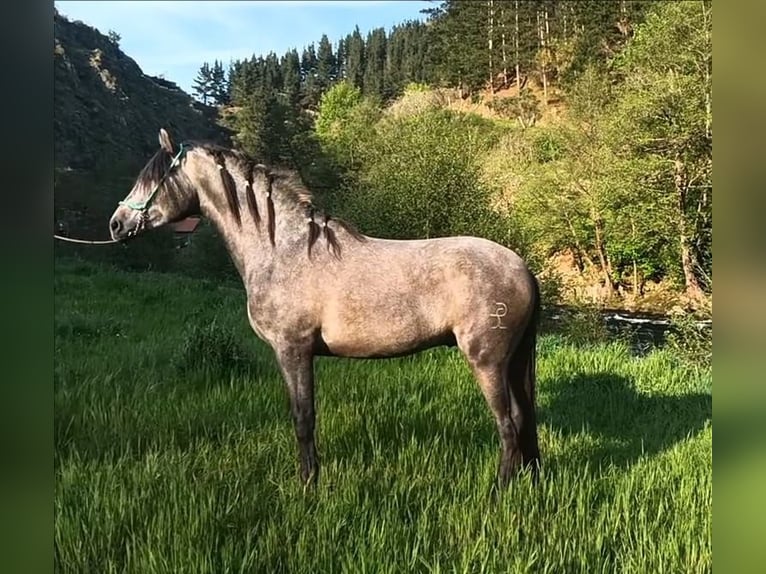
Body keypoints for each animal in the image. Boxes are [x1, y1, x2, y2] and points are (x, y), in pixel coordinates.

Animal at [108, 128, 544, 488]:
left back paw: (499, 491)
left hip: (487, 361)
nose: (116, 224)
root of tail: (521, 267)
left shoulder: (293, 350)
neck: (282, 249)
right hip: (515, 360)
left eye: (153, 178)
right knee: (524, 418)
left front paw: (308, 483)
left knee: (508, 424)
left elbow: (304, 419)